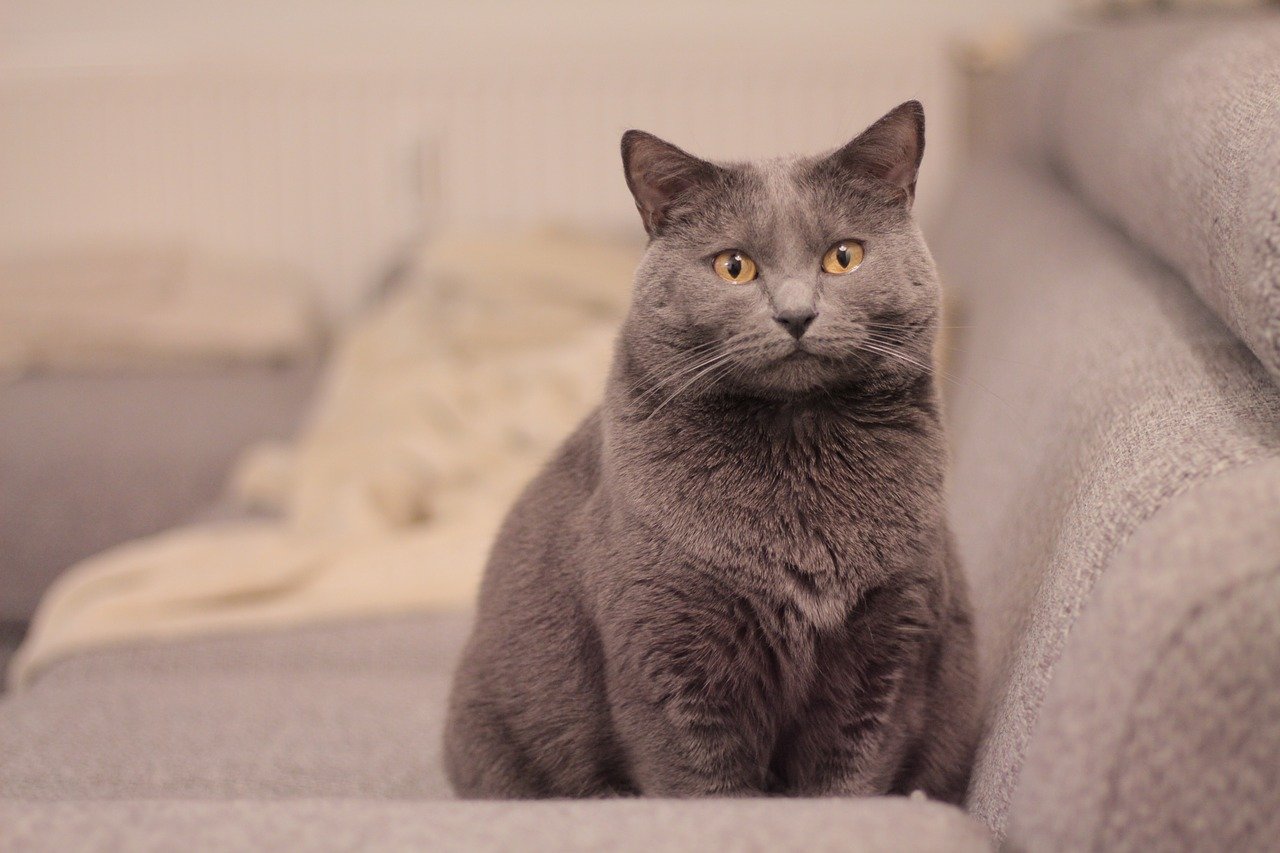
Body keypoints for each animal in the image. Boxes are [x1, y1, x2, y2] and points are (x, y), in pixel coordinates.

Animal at [445, 103, 972, 799]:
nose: (796, 314)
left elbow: (849, 776)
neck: (796, 454)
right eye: (734, 266)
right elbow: (701, 782)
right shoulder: (669, 650)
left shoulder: (890, 647)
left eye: (843, 257)